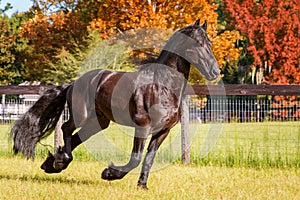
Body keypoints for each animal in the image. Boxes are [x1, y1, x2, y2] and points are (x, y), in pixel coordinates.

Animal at [11, 19, 219, 189]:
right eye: (198, 44)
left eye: (209, 43)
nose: (215, 72)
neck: (162, 85)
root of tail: (73, 83)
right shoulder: (143, 126)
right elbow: (136, 158)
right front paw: (109, 173)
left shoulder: (162, 131)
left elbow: (149, 158)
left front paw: (142, 186)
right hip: (82, 115)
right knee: (66, 128)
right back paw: (61, 161)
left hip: (99, 122)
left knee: (78, 136)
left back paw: (54, 163)